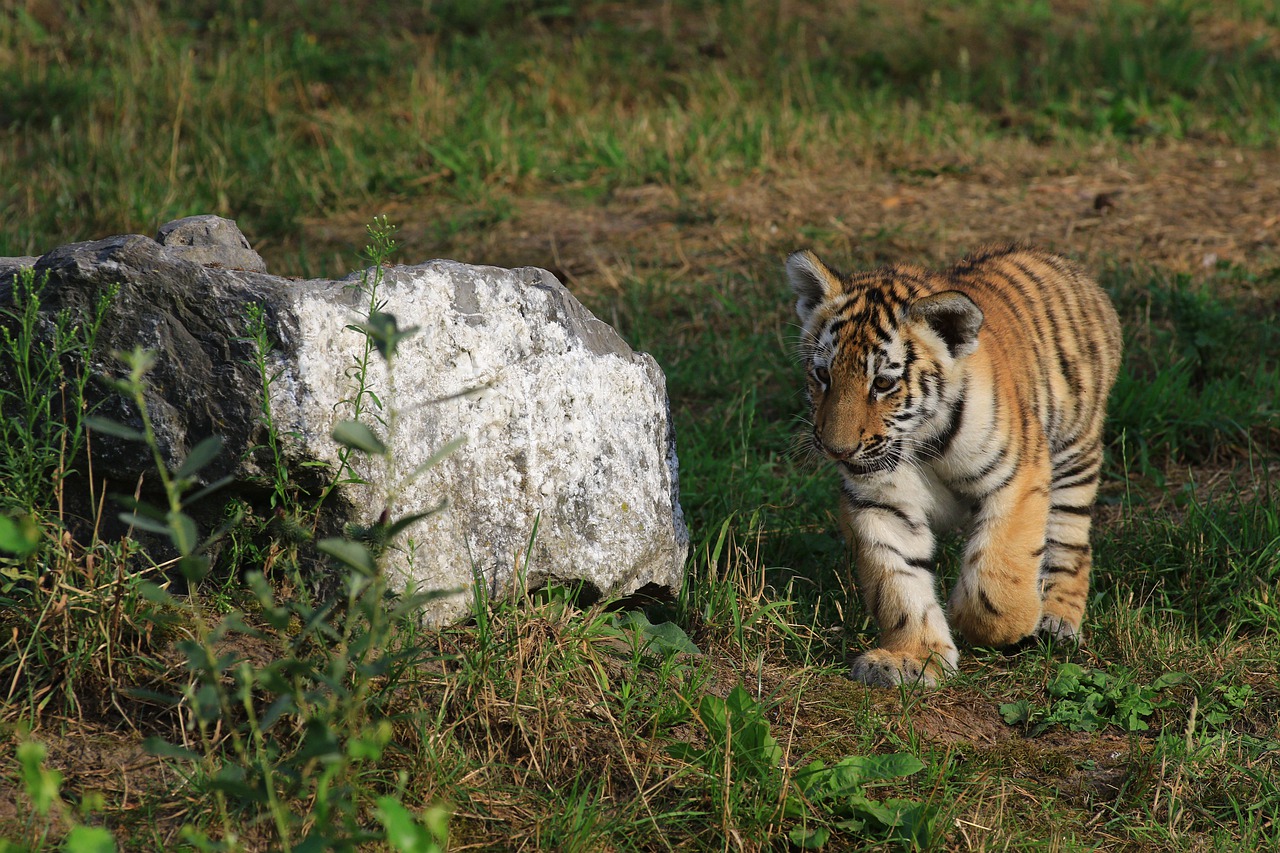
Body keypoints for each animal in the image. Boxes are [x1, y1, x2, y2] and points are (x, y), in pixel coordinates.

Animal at [787, 244, 1122, 687]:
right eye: (823, 375)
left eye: (883, 384)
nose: (836, 450)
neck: (920, 439)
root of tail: (1062, 263)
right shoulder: (881, 504)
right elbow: (897, 583)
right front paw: (912, 659)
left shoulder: (1019, 477)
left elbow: (999, 573)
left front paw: (990, 623)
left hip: (1074, 451)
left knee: (1071, 543)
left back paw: (1055, 620)